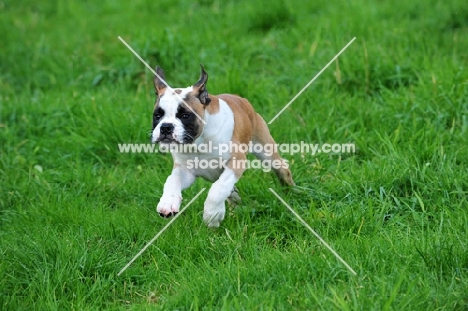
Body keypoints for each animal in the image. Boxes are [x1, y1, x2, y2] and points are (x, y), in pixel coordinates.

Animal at [152, 65, 294, 227]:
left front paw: (212, 215)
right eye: (157, 116)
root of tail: (242, 100)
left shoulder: (236, 162)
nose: (166, 127)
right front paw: (168, 202)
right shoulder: (184, 170)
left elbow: (218, 189)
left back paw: (291, 192)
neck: (198, 143)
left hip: (265, 150)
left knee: (282, 169)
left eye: (185, 115)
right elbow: (172, 180)